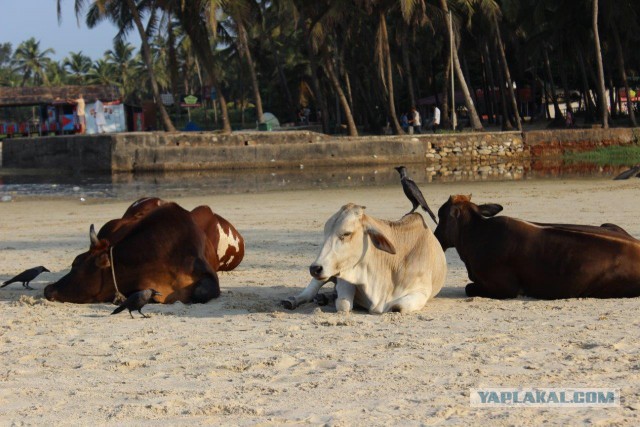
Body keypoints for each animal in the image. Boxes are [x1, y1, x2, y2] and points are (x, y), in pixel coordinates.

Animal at [282, 204, 448, 314]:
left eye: (346, 233)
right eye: (325, 233)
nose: (314, 268)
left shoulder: (421, 291)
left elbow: (398, 306)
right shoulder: (345, 277)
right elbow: (343, 305)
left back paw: (324, 297)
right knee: (309, 292)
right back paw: (293, 300)